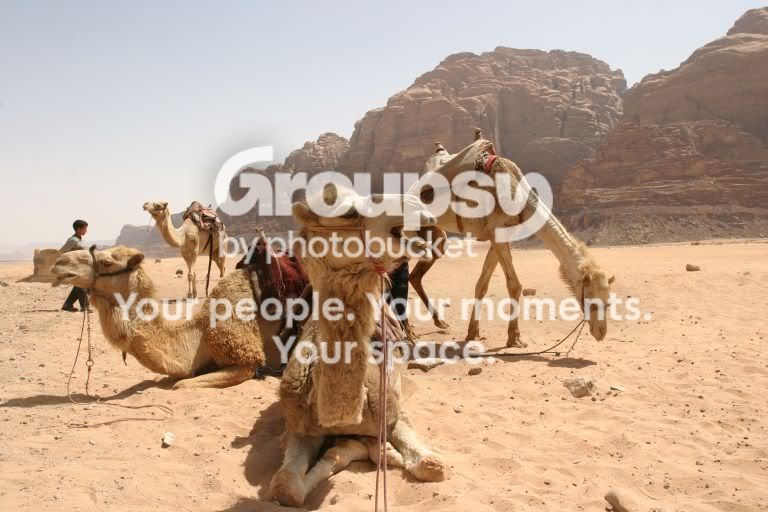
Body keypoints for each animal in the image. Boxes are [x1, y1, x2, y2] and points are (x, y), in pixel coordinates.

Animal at [269, 188, 447, 507]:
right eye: (347, 211)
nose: (419, 206)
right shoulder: (300, 429)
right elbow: (285, 487)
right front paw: (351, 449)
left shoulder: (394, 413)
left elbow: (431, 465)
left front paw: (381, 450)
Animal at [409, 133, 614, 347]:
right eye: (592, 300)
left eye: (608, 302)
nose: (601, 332)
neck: (521, 196)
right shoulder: (498, 232)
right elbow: (515, 285)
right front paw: (514, 338)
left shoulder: (496, 236)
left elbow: (482, 285)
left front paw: (473, 333)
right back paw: (410, 332)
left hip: (431, 230)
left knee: (415, 273)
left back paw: (436, 323)